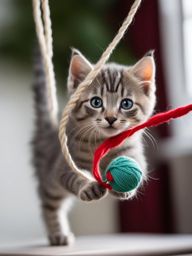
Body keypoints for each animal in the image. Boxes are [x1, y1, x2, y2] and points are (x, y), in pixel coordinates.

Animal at [31, 48, 156, 246]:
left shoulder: (136, 154)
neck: (103, 143)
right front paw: (89, 187)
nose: (111, 118)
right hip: (49, 179)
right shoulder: (63, 166)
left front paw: (125, 186)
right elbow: (75, 176)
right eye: (96, 102)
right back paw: (58, 234)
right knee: (49, 204)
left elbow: (136, 168)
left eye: (126, 104)